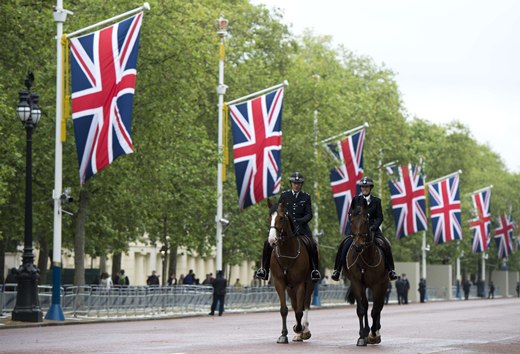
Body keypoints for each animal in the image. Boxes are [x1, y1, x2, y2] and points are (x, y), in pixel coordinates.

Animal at [268, 199, 312, 342]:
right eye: (269, 217)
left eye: (281, 218)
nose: (272, 240)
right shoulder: (280, 283)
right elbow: (284, 309)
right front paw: (283, 334)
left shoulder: (300, 284)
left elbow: (299, 311)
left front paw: (299, 328)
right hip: (290, 287)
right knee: (295, 304)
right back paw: (299, 334)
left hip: (309, 283)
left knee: (305, 304)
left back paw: (304, 330)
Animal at [344, 196, 388, 346]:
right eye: (351, 220)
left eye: (365, 220)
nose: (358, 246)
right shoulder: (357, 283)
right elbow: (362, 309)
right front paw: (362, 335)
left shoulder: (378, 285)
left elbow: (375, 310)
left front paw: (373, 333)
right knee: (367, 305)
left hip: (382, 285)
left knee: (379, 306)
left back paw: (376, 331)